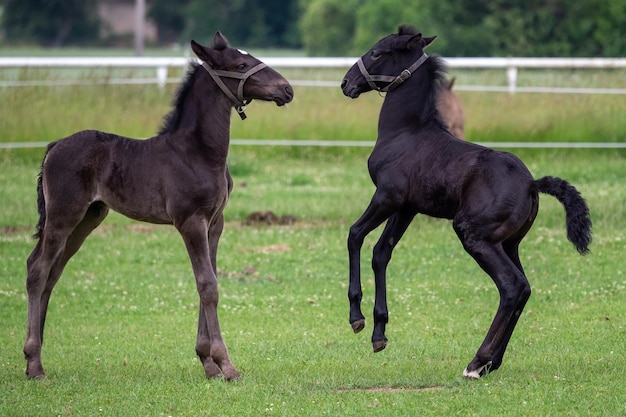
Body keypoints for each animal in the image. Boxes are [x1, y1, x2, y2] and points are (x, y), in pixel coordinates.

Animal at [24, 30, 292, 378]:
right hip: (63, 215)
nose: (287, 89)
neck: (199, 152)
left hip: (88, 218)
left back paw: (36, 359)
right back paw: (34, 363)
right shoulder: (190, 221)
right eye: (241, 64)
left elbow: (209, 281)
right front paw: (225, 364)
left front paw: (208, 362)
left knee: (52, 272)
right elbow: (208, 285)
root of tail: (54, 146)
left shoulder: (214, 223)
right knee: (38, 269)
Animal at [338, 24, 588, 378]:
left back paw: (477, 362)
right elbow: (381, 252)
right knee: (524, 288)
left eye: (377, 52)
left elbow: (355, 235)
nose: (346, 83)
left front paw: (356, 318)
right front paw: (379, 333)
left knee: (511, 286)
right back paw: (492, 363)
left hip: (475, 236)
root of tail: (531, 184)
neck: (405, 132)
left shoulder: (387, 196)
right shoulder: (407, 207)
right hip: (509, 243)